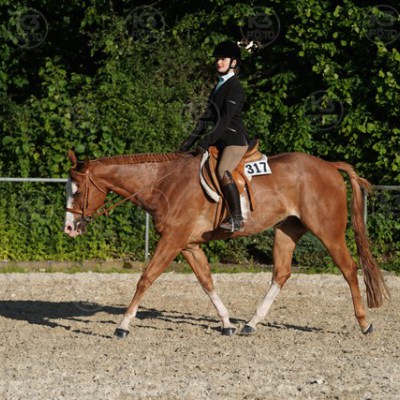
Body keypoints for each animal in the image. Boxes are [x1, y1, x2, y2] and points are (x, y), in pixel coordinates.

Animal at [63, 149, 389, 338]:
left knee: (349, 269)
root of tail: (329, 166)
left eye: (77, 192)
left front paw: (122, 325)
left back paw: (364, 323)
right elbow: (206, 281)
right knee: (281, 273)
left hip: (328, 231)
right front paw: (227, 323)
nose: (69, 228)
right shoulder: (188, 245)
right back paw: (250, 324)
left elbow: (146, 279)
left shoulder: (172, 240)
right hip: (287, 229)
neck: (163, 182)